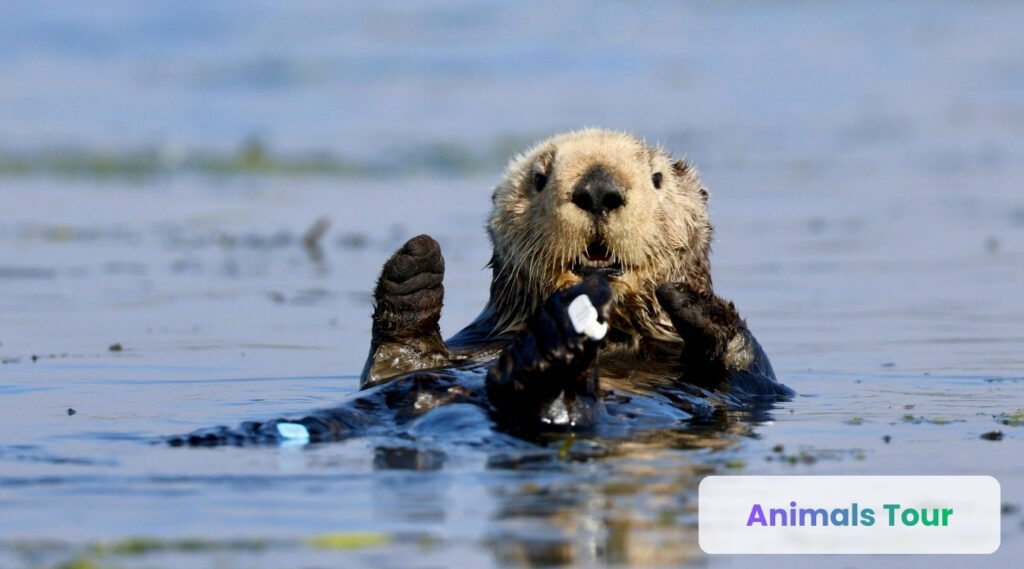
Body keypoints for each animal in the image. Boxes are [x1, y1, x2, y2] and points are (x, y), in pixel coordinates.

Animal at [170, 129, 791, 446]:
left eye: (657, 178)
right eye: (539, 178)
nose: (598, 188)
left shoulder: (752, 386)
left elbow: (747, 370)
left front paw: (693, 301)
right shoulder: (473, 344)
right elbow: (395, 363)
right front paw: (414, 268)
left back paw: (549, 359)